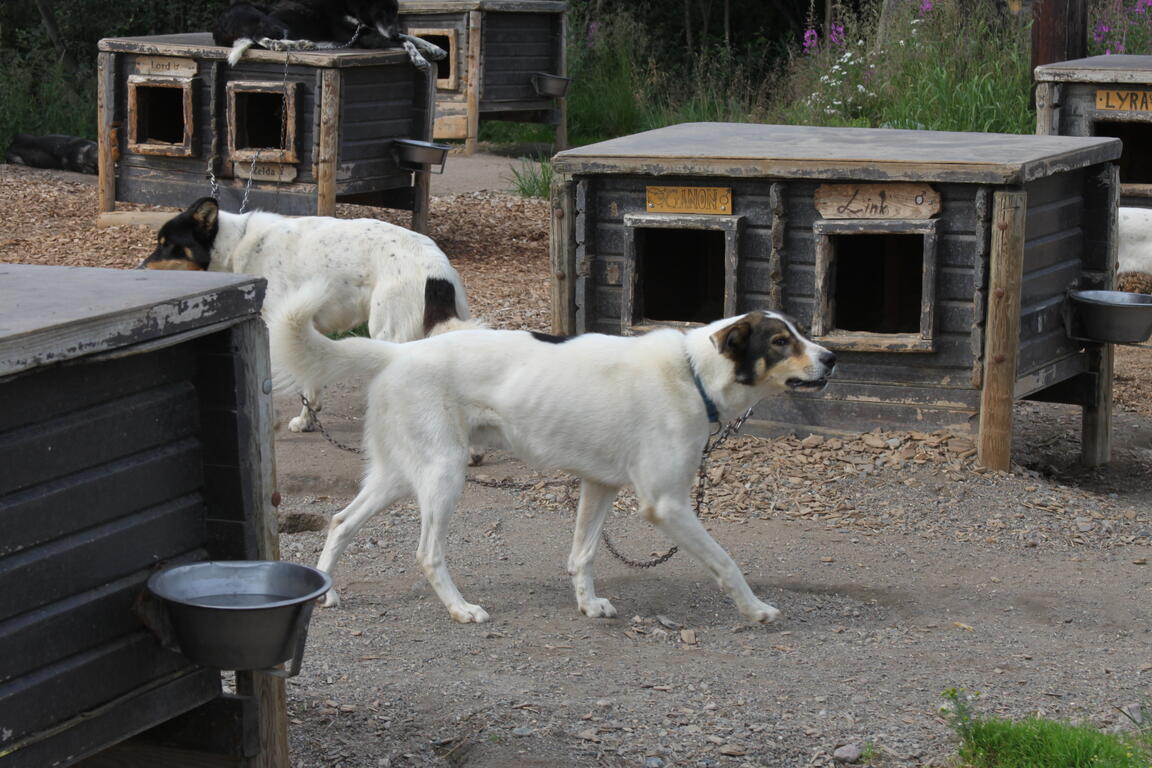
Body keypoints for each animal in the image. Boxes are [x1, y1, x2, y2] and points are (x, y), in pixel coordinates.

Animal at [140, 196, 472, 432]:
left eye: (167, 245)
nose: (139, 268)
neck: (235, 245)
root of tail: (436, 271)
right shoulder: (301, 328)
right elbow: (310, 382)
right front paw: (307, 420)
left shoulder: (274, 330)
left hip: (389, 335)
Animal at [214, 0, 446, 69]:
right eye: (382, 11)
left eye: (395, 11)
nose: (394, 31)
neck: (350, 6)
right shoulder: (365, 38)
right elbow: (406, 42)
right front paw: (419, 59)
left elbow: (410, 37)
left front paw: (435, 48)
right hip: (269, 19)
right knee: (261, 38)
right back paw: (289, 45)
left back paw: (304, 44)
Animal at [267, 282, 838, 626]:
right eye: (781, 341)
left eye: (800, 334)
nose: (832, 358)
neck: (692, 373)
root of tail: (398, 351)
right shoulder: (666, 505)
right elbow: (726, 561)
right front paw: (755, 609)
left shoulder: (600, 485)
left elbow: (582, 555)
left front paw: (587, 604)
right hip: (443, 475)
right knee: (427, 552)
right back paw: (461, 610)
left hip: (400, 476)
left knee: (341, 520)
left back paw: (329, 591)